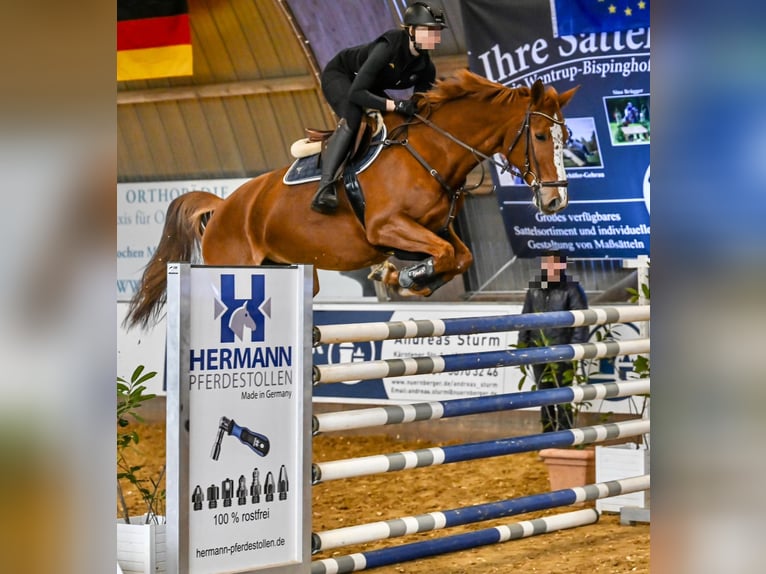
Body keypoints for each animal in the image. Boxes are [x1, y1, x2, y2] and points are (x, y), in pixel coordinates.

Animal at [126, 69, 580, 328]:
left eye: (567, 136)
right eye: (542, 136)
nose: (555, 202)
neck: (431, 152)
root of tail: (222, 208)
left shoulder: (432, 230)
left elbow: (459, 256)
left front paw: (407, 279)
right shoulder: (387, 227)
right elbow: (446, 255)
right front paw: (404, 279)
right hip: (234, 262)